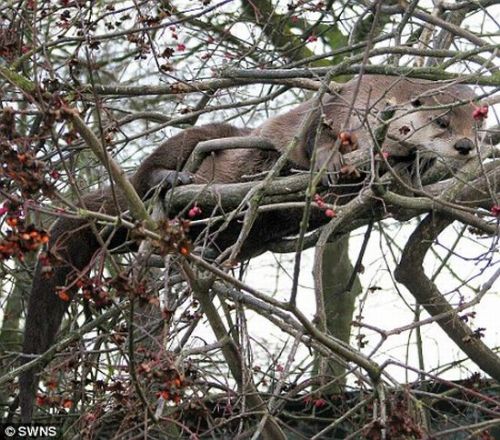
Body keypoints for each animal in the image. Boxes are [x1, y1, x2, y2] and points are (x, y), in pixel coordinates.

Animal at [20, 76, 480, 422]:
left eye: (475, 124)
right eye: (441, 121)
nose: (465, 146)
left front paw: (411, 171)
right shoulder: (337, 107)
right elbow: (314, 139)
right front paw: (330, 161)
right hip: (203, 139)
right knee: (152, 168)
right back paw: (169, 180)